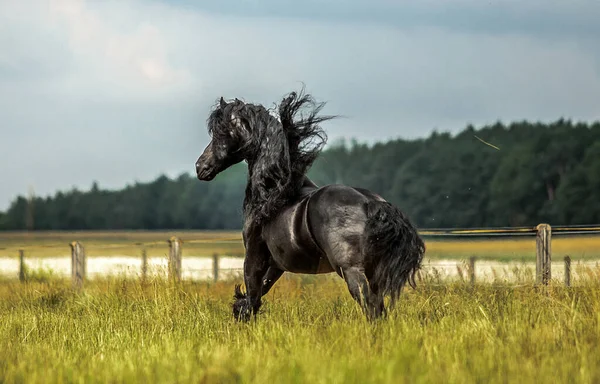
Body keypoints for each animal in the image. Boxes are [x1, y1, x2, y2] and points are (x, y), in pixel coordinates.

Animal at [195, 91, 424, 320]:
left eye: (219, 133)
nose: (200, 166)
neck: (274, 192)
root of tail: (371, 203)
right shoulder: (277, 264)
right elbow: (259, 293)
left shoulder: (255, 256)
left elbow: (252, 297)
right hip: (374, 272)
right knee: (378, 308)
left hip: (351, 270)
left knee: (370, 306)